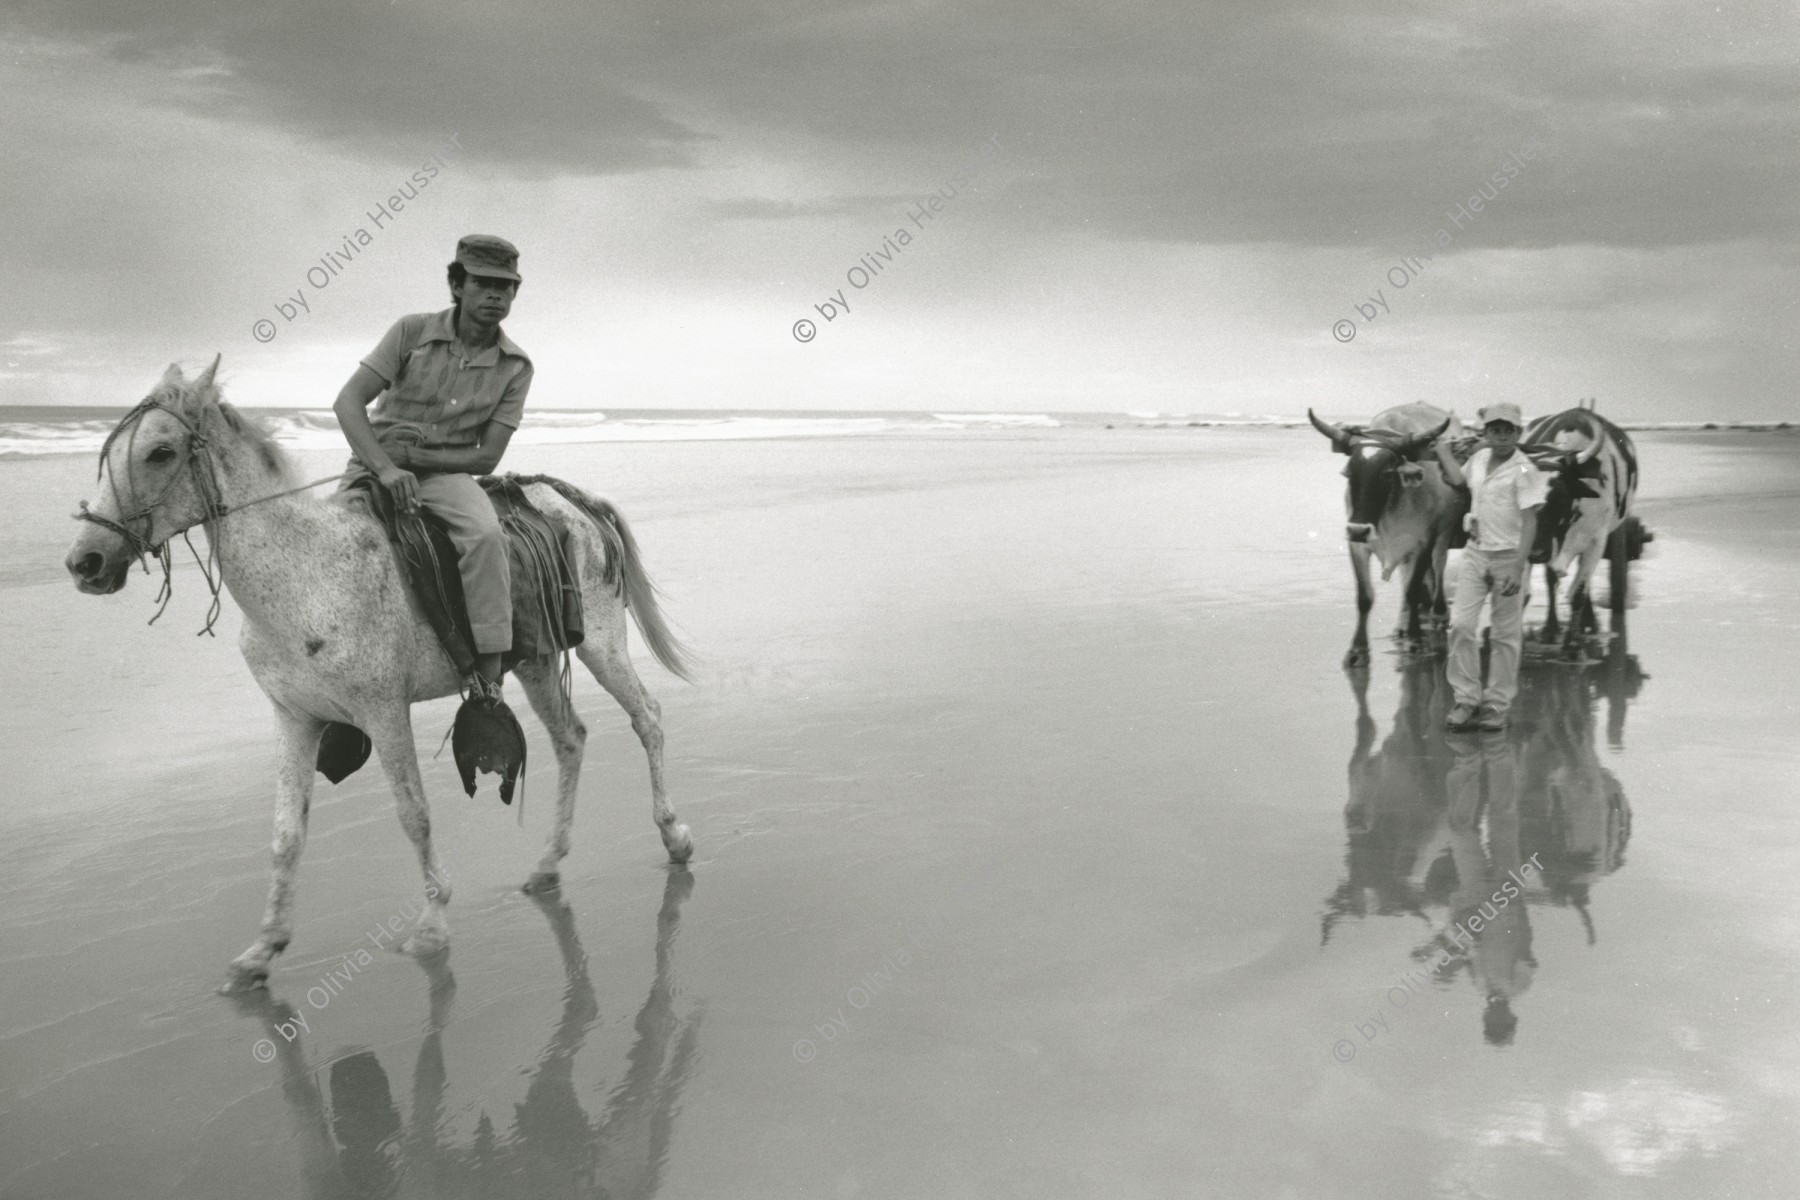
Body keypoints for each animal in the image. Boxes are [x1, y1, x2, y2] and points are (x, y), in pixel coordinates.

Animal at [65, 361, 694, 993]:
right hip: (534, 660)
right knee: (571, 739)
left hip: (601, 642)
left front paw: (433, 923)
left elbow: (414, 814)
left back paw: (674, 835)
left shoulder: (384, 713)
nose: (84, 563)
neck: (304, 575)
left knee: (648, 719)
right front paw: (263, 949)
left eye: (160, 453)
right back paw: (546, 863)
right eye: (109, 453)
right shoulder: (294, 719)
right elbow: (286, 836)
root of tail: (575, 499)